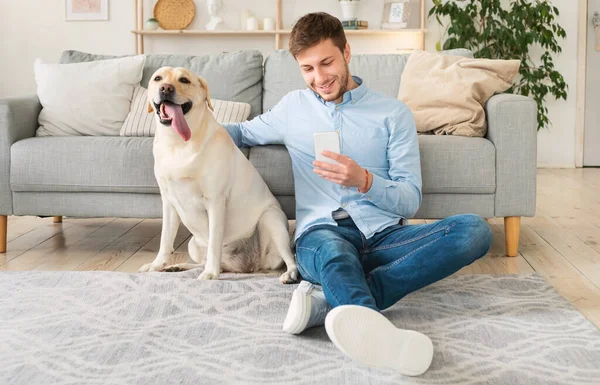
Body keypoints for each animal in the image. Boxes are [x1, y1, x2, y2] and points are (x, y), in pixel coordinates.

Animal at [141, 67, 300, 282]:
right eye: (158, 78)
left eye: (184, 80)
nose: (166, 88)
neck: (178, 143)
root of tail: (250, 266)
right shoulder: (168, 201)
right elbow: (165, 239)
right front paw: (157, 265)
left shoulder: (215, 201)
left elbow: (214, 242)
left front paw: (210, 273)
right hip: (193, 244)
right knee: (208, 263)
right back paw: (179, 267)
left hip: (271, 220)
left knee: (290, 258)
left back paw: (289, 274)